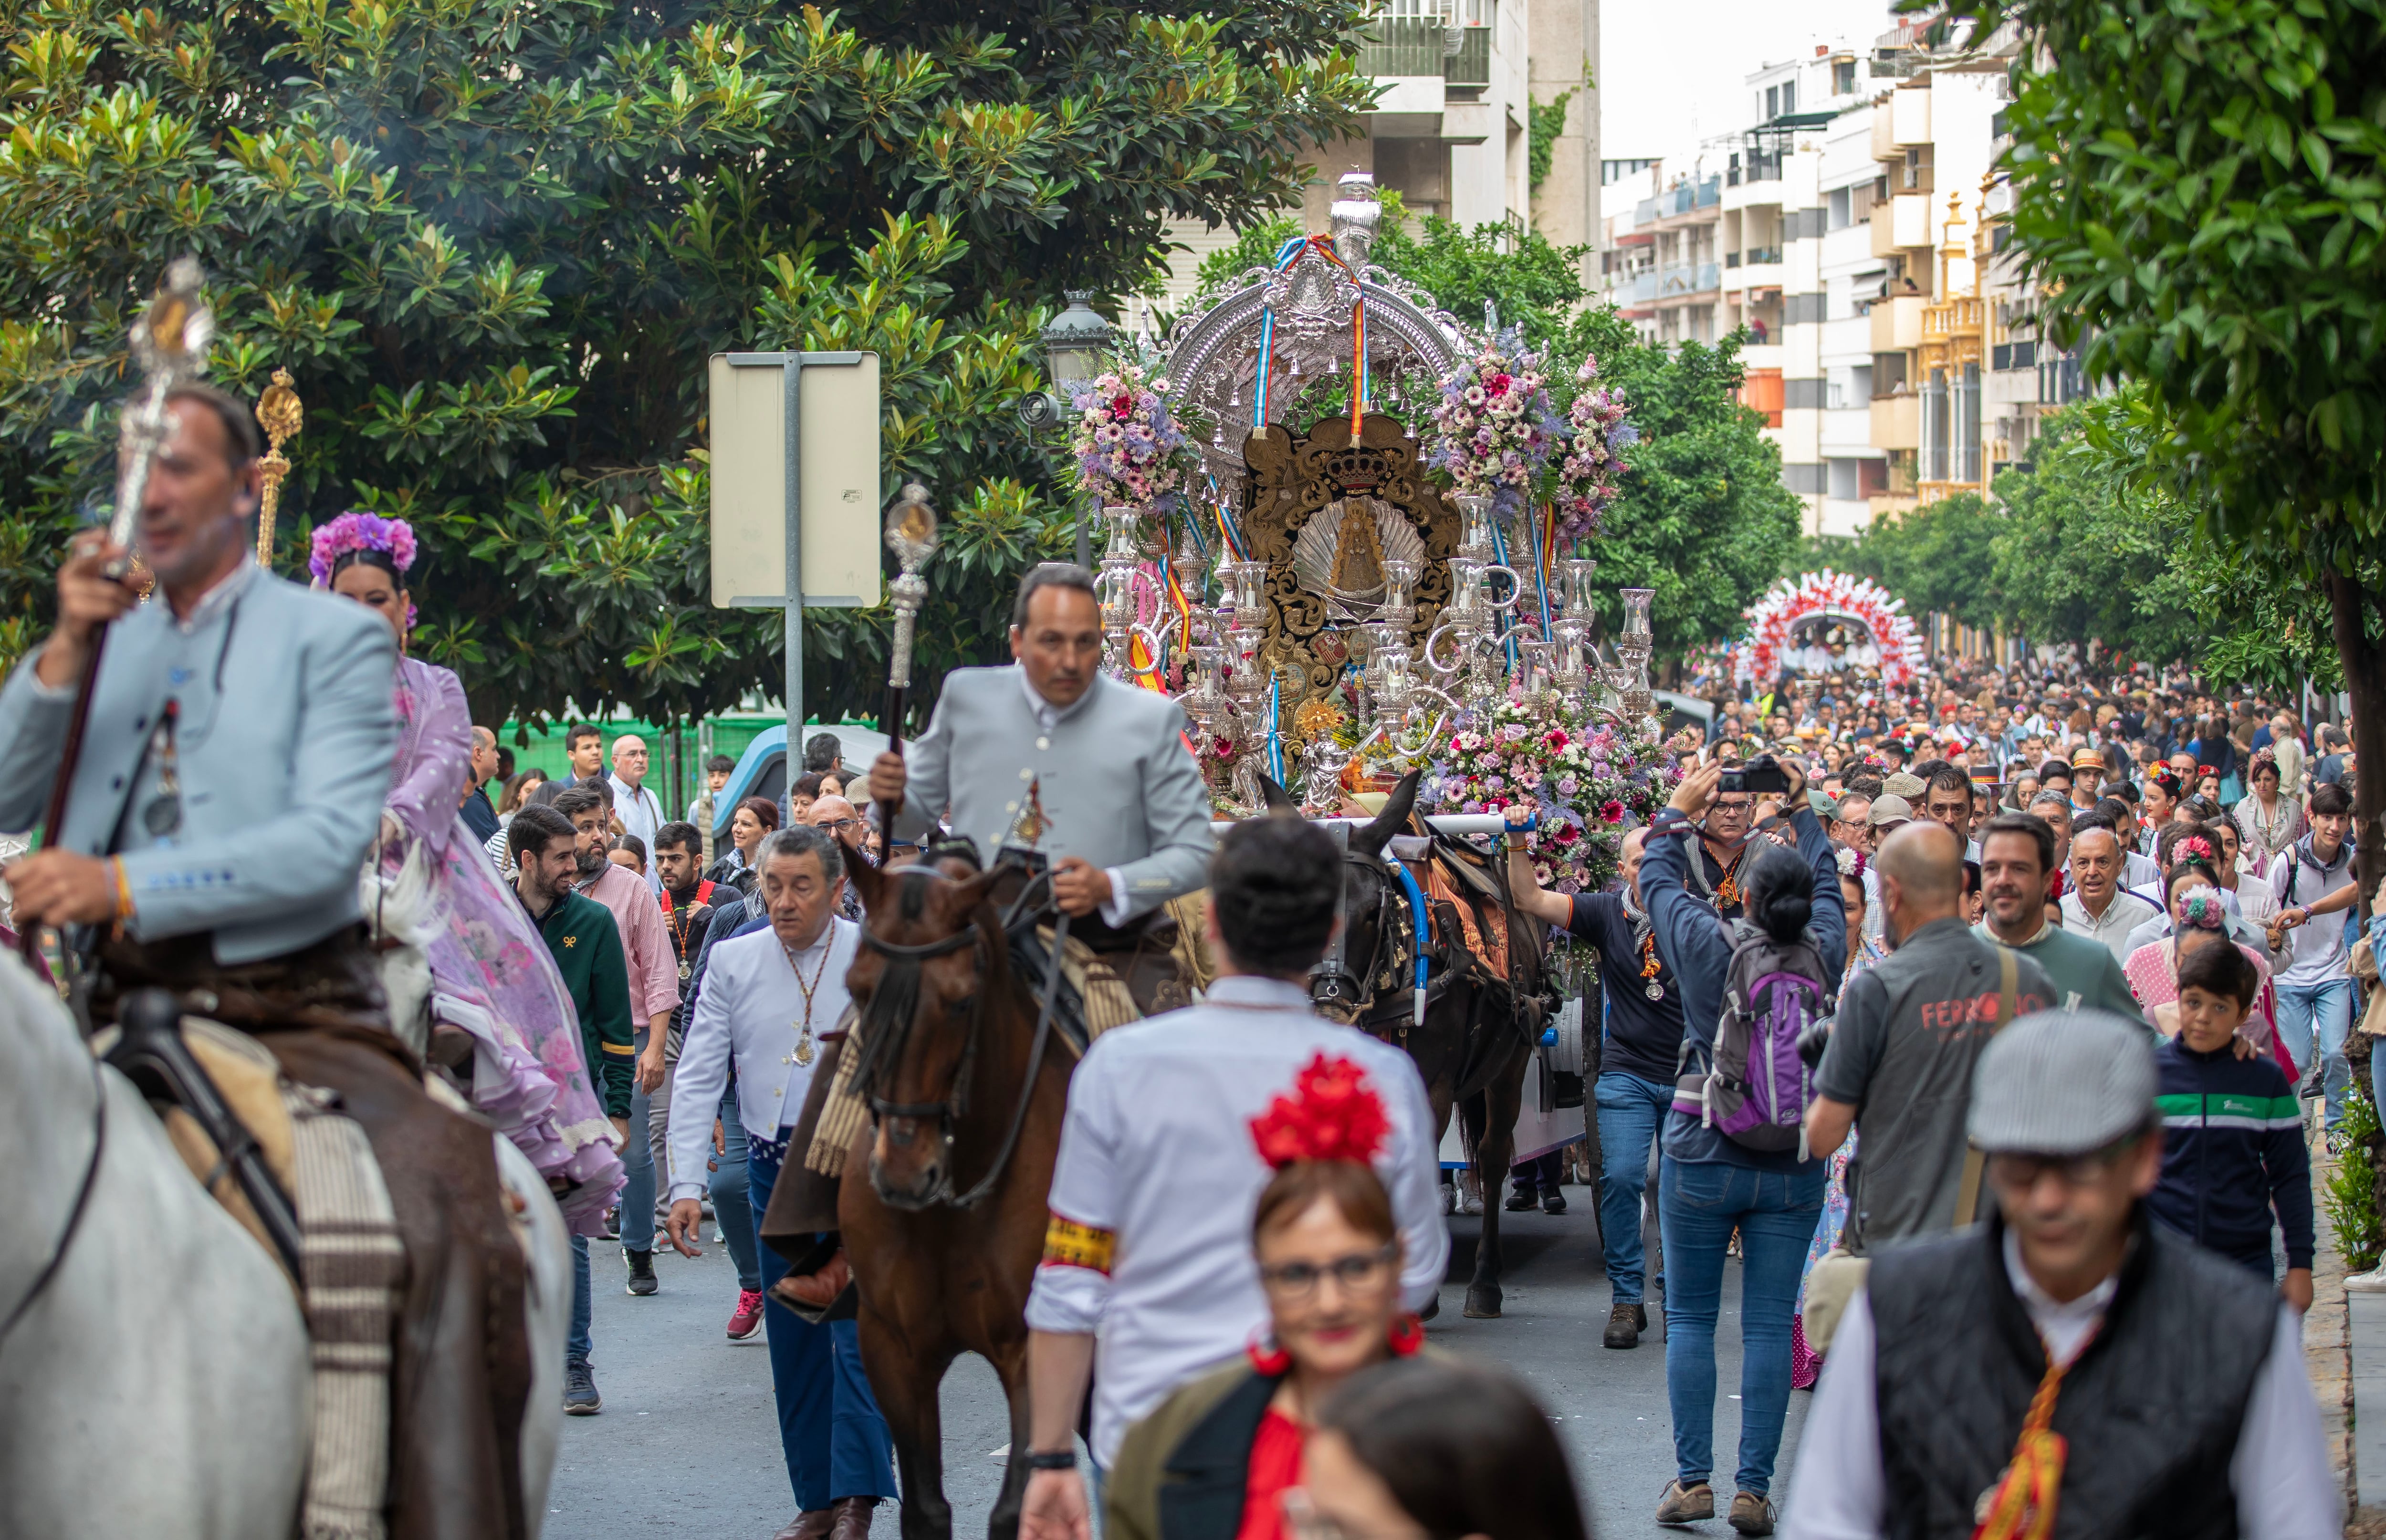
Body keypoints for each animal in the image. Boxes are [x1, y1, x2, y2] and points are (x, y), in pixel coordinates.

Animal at [835, 858, 1069, 1540]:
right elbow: (925, 1509)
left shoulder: (1032, 1345)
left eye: (962, 1001)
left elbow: (1017, 1508)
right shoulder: (892, 1346)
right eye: (858, 988)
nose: (904, 1172)